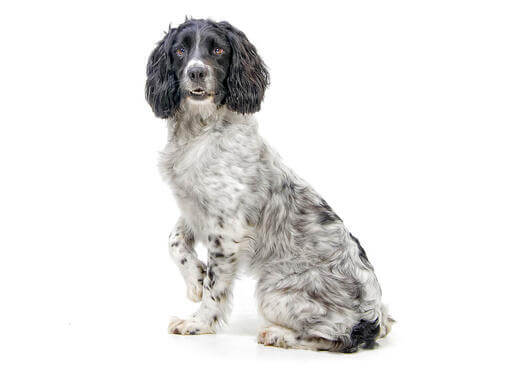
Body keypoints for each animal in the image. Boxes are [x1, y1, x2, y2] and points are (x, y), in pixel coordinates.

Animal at [145, 18, 392, 354]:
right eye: (180, 50)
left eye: (218, 50)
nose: (196, 72)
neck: (199, 133)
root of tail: (373, 316)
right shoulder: (193, 206)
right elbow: (174, 240)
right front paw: (195, 279)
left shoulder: (226, 228)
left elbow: (215, 287)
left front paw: (199, 322)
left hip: (274, 293)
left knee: (341, 336)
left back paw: (278, 335)